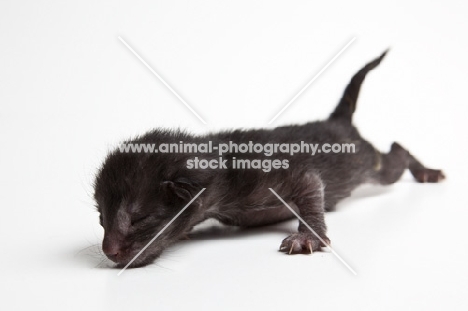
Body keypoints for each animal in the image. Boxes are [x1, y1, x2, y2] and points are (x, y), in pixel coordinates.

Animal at [93, 51, 444, 268]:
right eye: (101, 219)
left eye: (139, 219)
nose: (108, 251)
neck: (221, 171)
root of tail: (338, 120)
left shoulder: (282, 172)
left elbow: (310, 185)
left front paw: (307, 237)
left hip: (368, 164)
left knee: (396, 154)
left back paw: (426, 171)